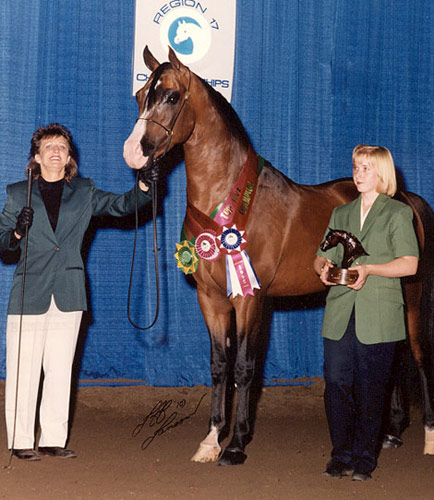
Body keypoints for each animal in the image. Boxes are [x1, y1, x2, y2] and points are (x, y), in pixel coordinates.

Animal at [122, 47, 434, 464]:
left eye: (171, 96)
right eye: (141, 95)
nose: (133, 153)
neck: (229, 202)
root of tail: (405, 198)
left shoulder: (250, 299)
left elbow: (244, 367)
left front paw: (236, 445)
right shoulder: (211, 299)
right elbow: (219, 366)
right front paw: (210, 440)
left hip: (412, 297)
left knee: (417, 356)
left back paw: (427, 437)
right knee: (394, 356)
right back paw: (392, 433)